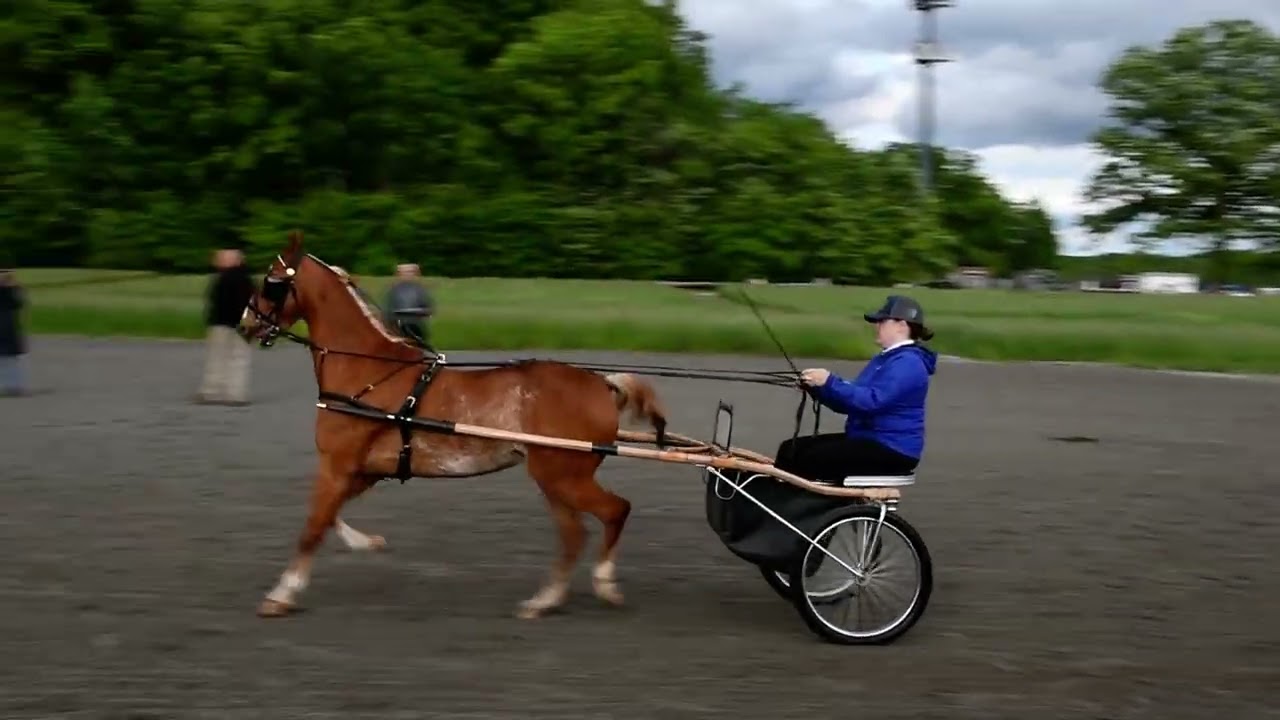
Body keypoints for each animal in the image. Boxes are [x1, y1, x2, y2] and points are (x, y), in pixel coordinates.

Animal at [235, 231, 669, 620]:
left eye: (272, 280)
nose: (244, 323)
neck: (370, 371)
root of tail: (601, 384)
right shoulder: (364, 469)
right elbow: (329, 515)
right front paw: (367, 542)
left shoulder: (337, 464)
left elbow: (313, 525)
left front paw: (281, 594)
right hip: (554, 478)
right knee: (575, 534)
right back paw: (544, 600)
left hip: (563, 475)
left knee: (614, 511)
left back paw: (604, 584)